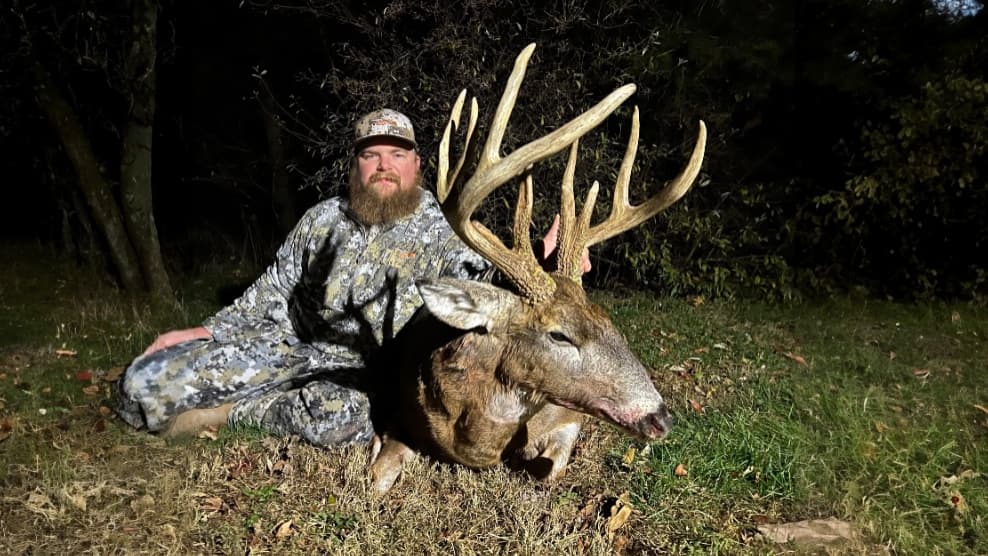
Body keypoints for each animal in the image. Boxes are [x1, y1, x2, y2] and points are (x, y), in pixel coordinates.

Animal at [369, 43, 706, 494]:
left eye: (608, 322)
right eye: (558, 334)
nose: (660, 417)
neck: (479, 444)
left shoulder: (569, 417)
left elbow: (548, 470)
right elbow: (376, 475)